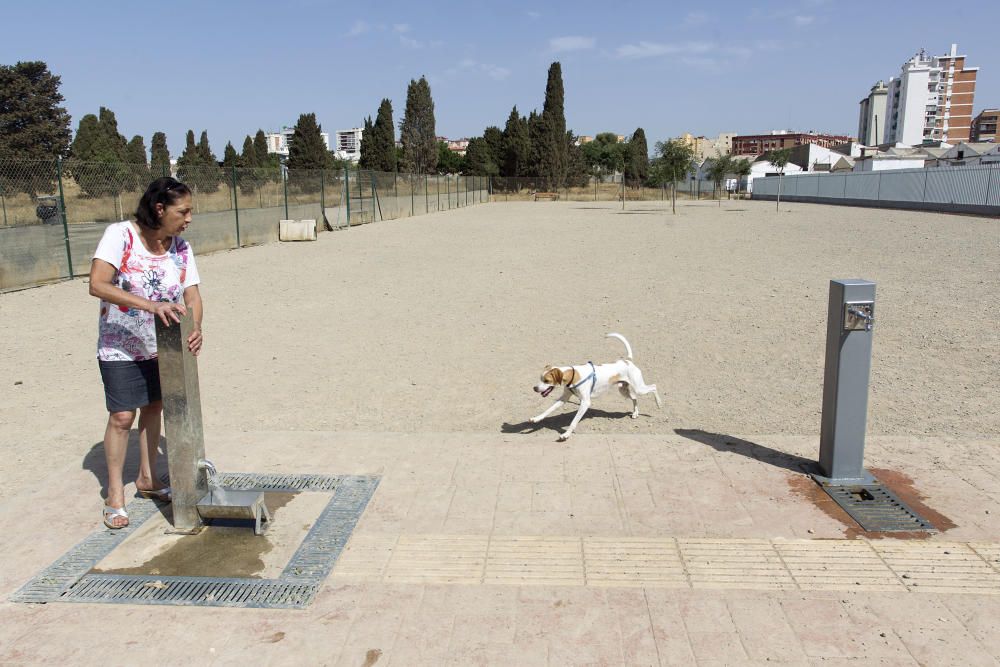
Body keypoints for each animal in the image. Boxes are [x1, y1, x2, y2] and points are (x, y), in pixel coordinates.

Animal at [532, 332, 664, 440]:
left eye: (547, 380)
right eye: (540, 379)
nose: (535, 388)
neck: (574, 376)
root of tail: (627, 361)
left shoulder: (585, 403)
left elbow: (574, 421)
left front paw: (566, 435)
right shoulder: (563, 398)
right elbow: (548, 410)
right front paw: (536, 418)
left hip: (639, 387)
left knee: (653, 386)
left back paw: (659, 403)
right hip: (623, 390)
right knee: (635, 397)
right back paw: (636, 413)